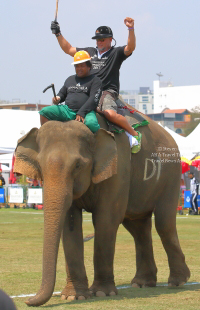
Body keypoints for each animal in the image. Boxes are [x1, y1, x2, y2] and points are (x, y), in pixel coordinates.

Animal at [13, 112, 189, 306]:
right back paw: (142, 283)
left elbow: (106, 219)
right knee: (138, 228)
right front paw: (74, 296)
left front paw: (101, 293)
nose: (27, 300)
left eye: (78, 165)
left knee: (164, 223)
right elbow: (70, 224)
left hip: (171, 173)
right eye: (40, 166)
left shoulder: (118, 167)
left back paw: (178, 281)